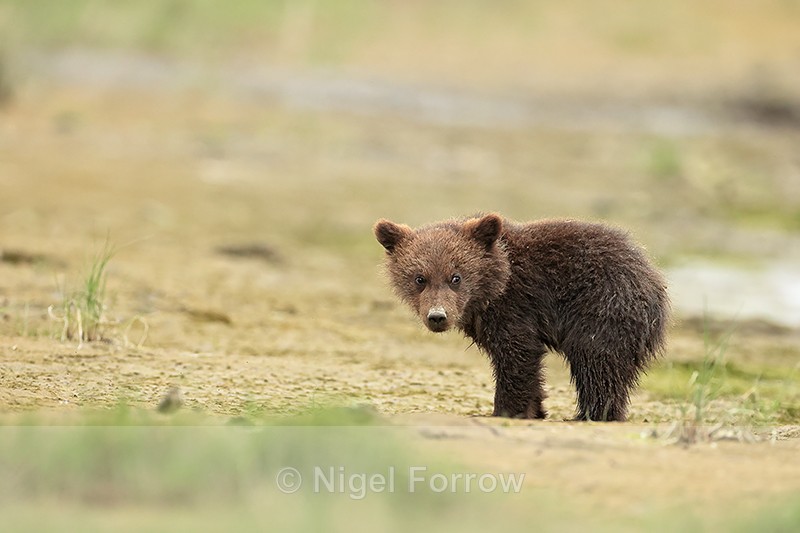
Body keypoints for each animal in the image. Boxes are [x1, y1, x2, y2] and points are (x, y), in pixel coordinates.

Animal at [373, 213, 669, 422]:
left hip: (604, 307)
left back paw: (593, 413)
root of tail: (655, 278)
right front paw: (535, 409)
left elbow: (517, 354)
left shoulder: (516, 307)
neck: (494, 288)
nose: (437, 316)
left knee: (598, 362)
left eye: (455, 277)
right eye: (419, 278)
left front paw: (505, 409)